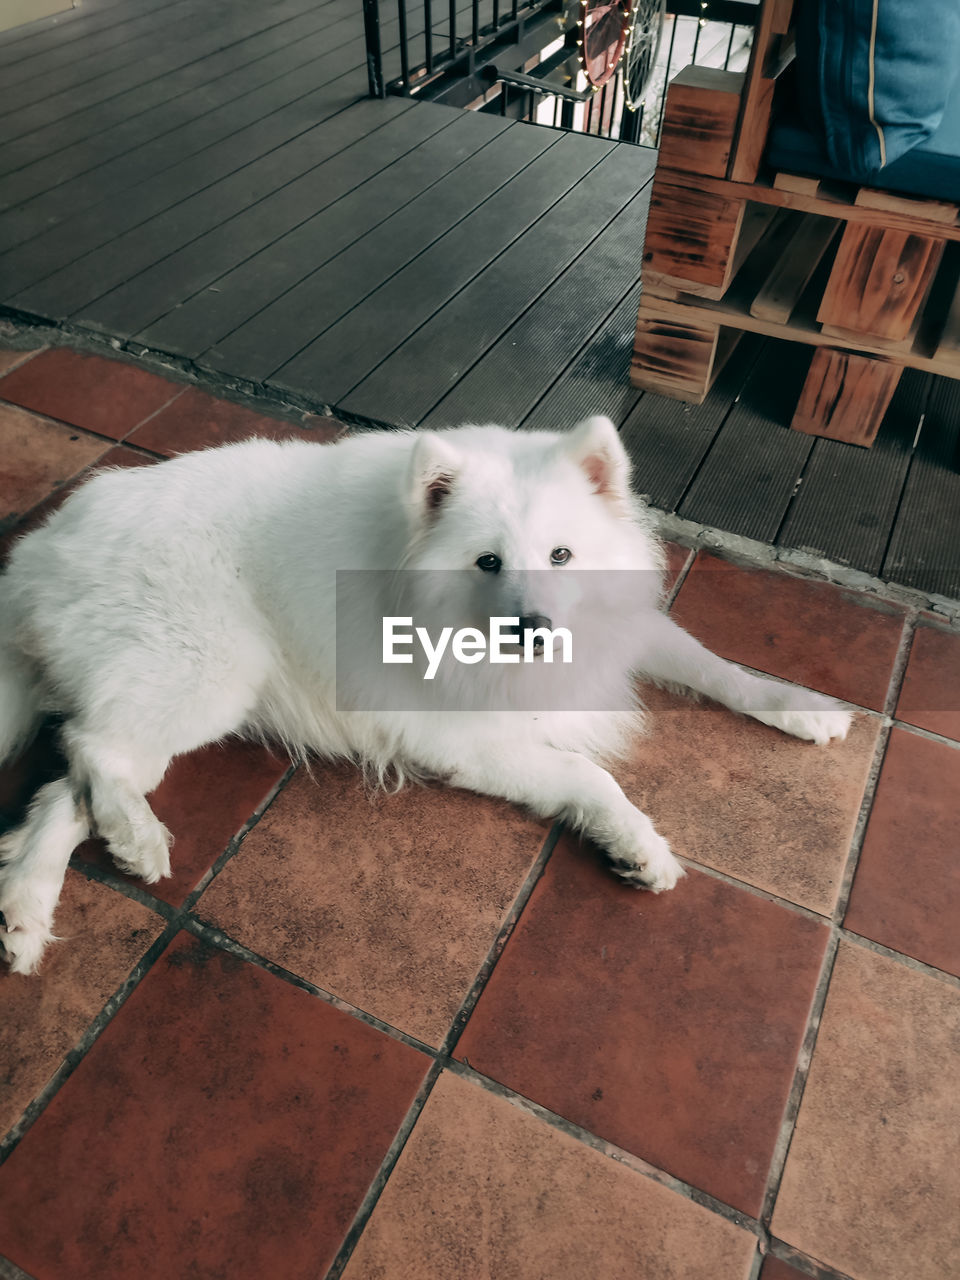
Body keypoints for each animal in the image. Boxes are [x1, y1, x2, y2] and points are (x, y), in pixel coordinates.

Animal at [0, 414, 855, 972]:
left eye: (562, 554)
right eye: (488, 561)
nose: (534, 630)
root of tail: (38, 552)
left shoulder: (622, 635)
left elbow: (720, 669)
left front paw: (804, 710)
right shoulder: (462, 738)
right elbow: (589, 775)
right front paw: (639, 845)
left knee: (62, 790)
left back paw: (27, 914)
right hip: (211, 672)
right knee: (88, 748)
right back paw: (138, 841)